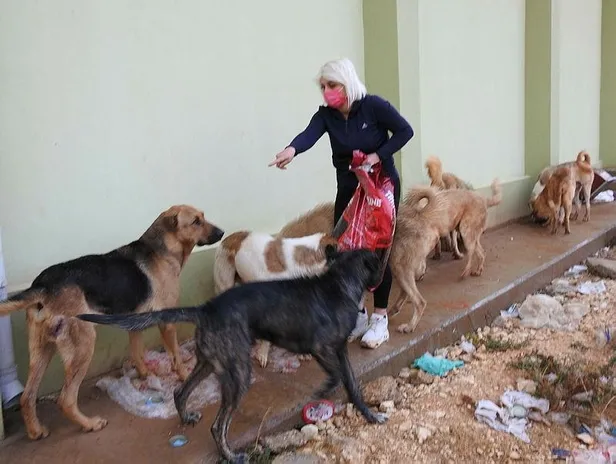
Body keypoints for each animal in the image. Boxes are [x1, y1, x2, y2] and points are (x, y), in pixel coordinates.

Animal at [0, 205, 224, 440]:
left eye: (203, 217)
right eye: (196, 222)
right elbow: (176, 357)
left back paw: (35, 431)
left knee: (27, 396)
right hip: (83, 346)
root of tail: (42, 285)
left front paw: (145, 376)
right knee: (65, 399)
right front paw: (183, 376)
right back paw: (90, 423)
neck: (161, 249)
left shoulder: (135, 325)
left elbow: (137, 353)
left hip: (42, 350)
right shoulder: (167, 323)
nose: (222, 233)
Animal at [77, 248, 388, 463]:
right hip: (239, 374)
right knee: (217, 427)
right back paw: (230, 456)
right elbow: (335, 376)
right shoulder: (321, 347)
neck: (340, 282)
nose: (385, 269)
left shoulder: (340, 350)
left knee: (180, 391)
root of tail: (205, 309)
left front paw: (370, 415)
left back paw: (186, 415)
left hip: (209, 362)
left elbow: (353, 384)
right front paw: (324, 390)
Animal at [388, 180, 502, 333]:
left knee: (471, 252)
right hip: (468, 233)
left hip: (465, 230)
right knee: (480, 251)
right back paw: (477, 270)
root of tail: (482, 199)